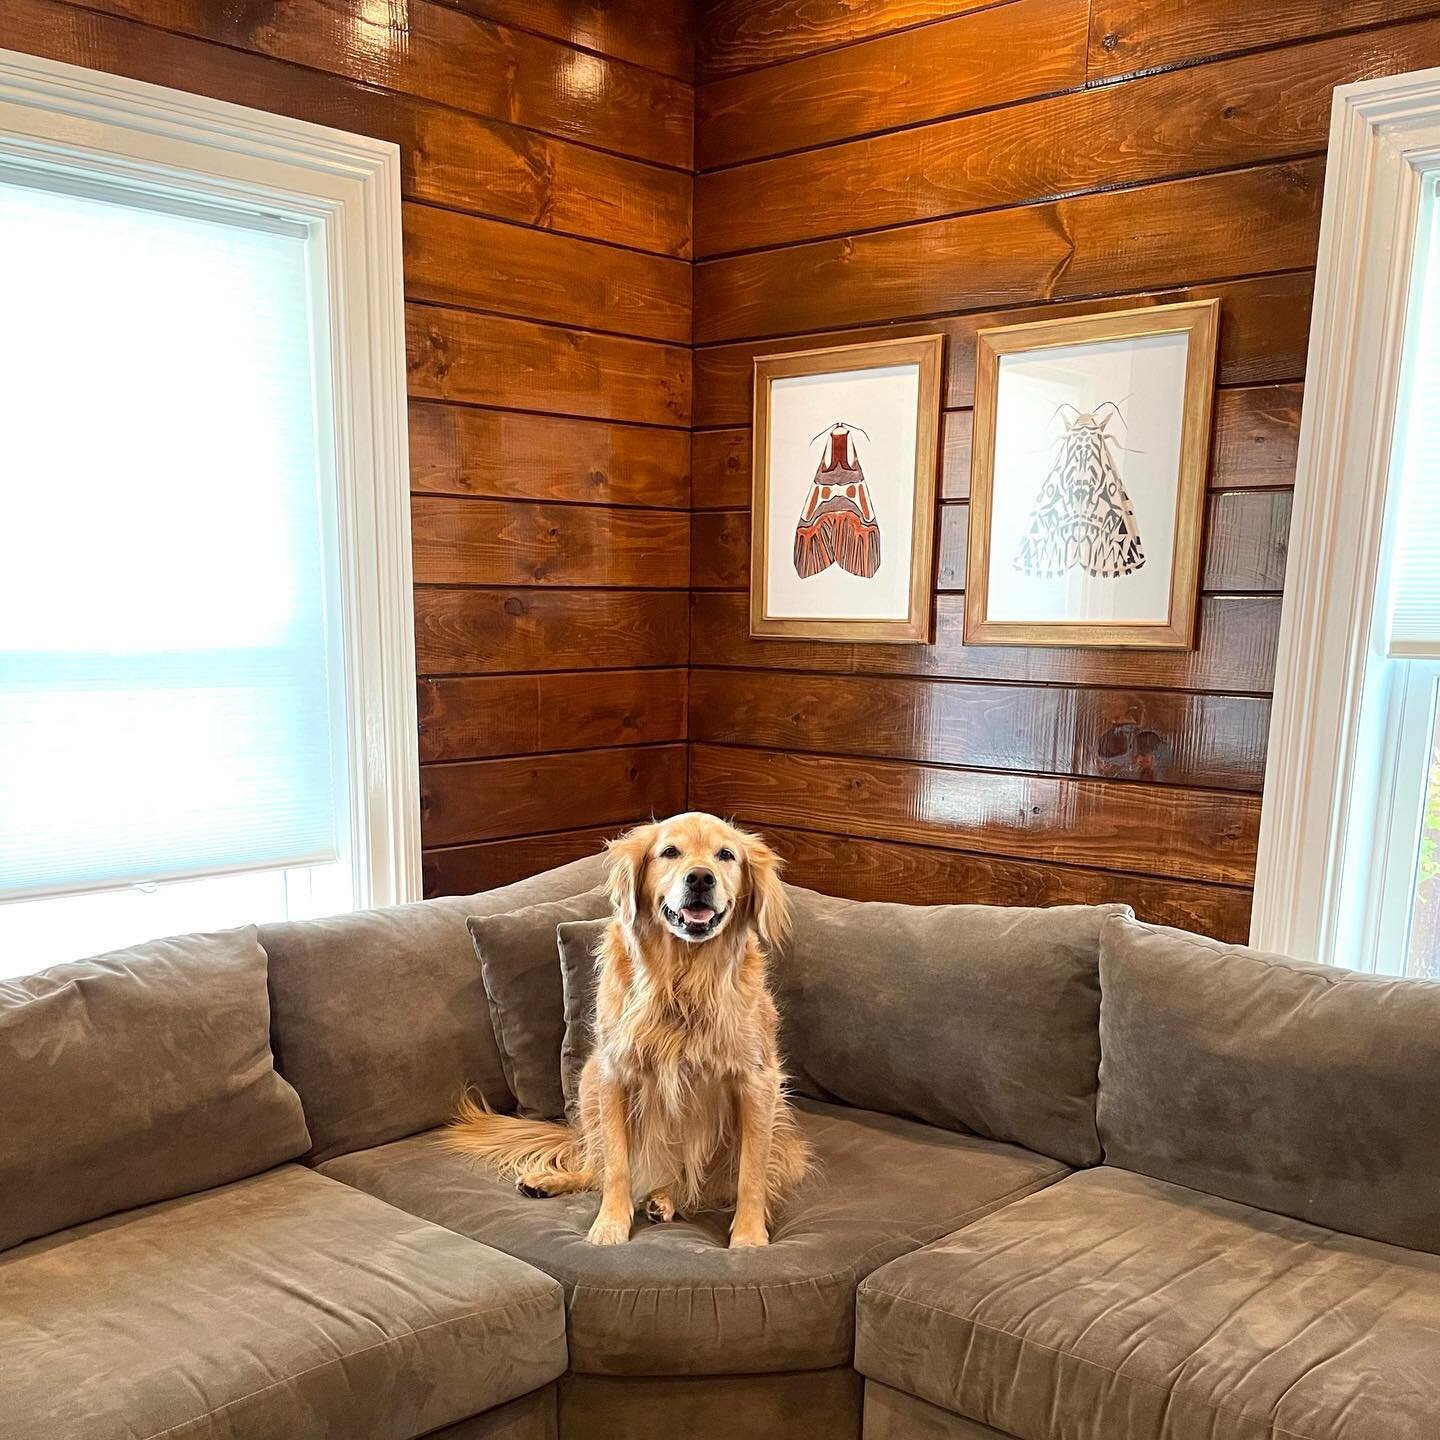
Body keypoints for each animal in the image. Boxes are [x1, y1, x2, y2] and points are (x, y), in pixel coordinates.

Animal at [443, 817, 812, 1244]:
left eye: (726, 855)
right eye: (670, 852)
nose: (700, 878)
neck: (682, 980)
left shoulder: (757, 1081)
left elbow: (751, 1173)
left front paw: (749, 1237)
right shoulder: (614, 1074)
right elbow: (617, 1166)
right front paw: (610, 1224)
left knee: (703, 1186)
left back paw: (664, 1200)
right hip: (588, 1082)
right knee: (594, 1167)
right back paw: (554, 1181)